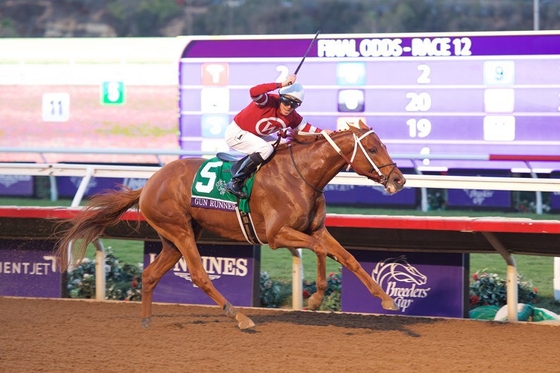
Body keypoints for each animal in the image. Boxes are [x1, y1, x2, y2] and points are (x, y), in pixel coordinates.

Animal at [55, 120, 406, 328]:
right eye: (372, 148)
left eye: (384, 145)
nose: (399, 180)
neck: (301, 175)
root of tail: (149, 184)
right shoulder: (278, 235)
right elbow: (320, 250)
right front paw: (316, 297)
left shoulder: (315, 229)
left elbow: (346, 256)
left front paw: (384, 298)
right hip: (180, 231)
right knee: (199, 274)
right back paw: (238, 316)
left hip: (173, 237)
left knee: (150, 274)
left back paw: (146, 321)